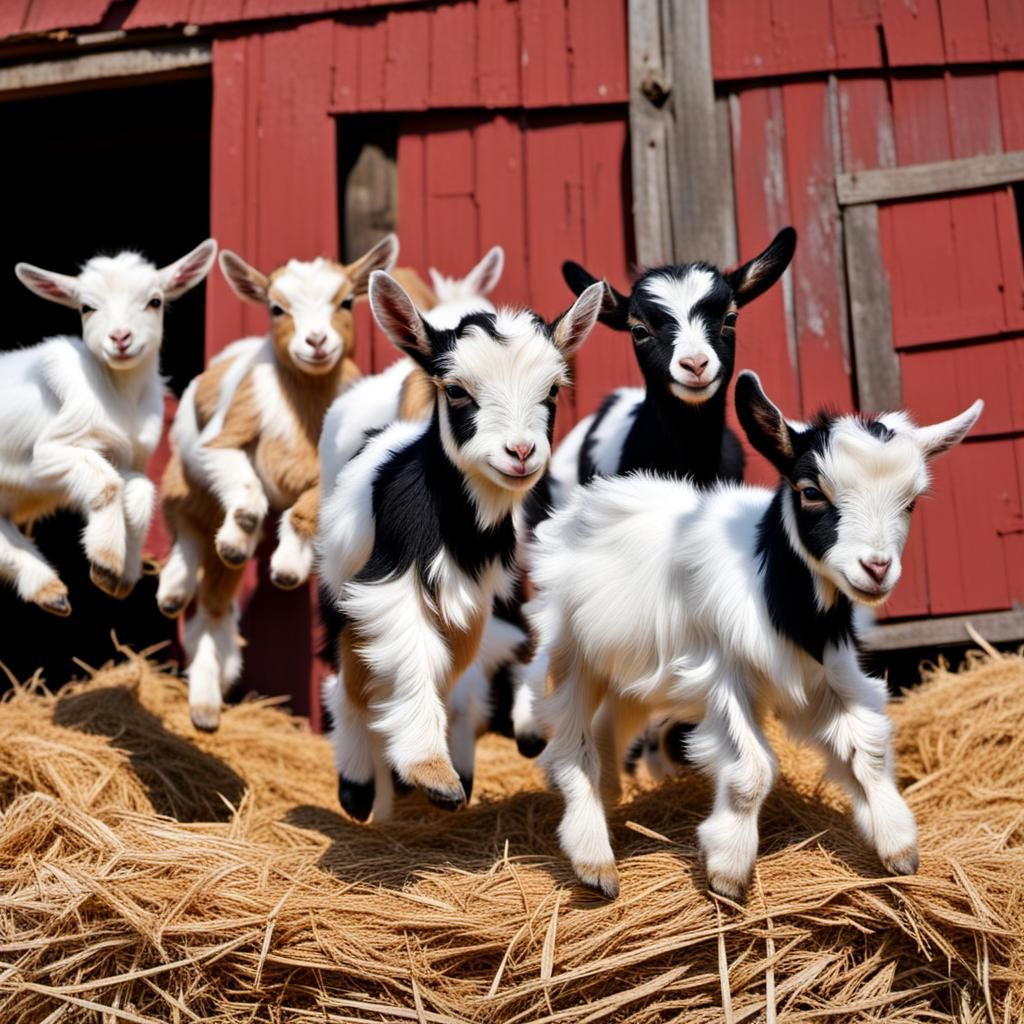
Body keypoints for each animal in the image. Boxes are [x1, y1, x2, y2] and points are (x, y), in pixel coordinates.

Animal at [3, 241, 216, 613]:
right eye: (86, 307)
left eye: (155, 301)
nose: (120, 337)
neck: (119, 397)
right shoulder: (49, 451)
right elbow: (106, 484)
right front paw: (106, 561)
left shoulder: (125, 457)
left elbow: (140, 491)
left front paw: (122, 575)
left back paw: (49, 590)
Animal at [157, 234, 398, 731]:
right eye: (275, 308)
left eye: (346, 301)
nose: (317, 342)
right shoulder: (222, 439)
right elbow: (243, 490)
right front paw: (242, 537)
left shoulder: (335, 468)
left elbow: (306, 510)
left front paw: (288, 566)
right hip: (182, 479)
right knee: (193, 540)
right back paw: (179, 596)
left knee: (215, 599)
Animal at [318, 270, 603, 822]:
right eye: (456, 391)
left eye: (553, 390)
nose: (520, 451)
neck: (465, 526)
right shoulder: (388, 581)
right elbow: (408, 657)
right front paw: (432, 772)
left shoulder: (486, 595)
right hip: (339, 598)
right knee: (352, 680)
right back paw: (360, 787)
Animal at [529, 370, 982, 899]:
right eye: (811, 491)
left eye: (909, 503)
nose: (876, 568)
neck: (784, 603)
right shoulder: (721, 674)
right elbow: (751, 770)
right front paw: (727, 869)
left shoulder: (829, 672)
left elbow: (867, 748)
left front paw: (898, 847)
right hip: (570, 652)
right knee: (571, 742)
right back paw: (595, 860)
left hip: (632, 671)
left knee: (607, 725)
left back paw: (610, 800)